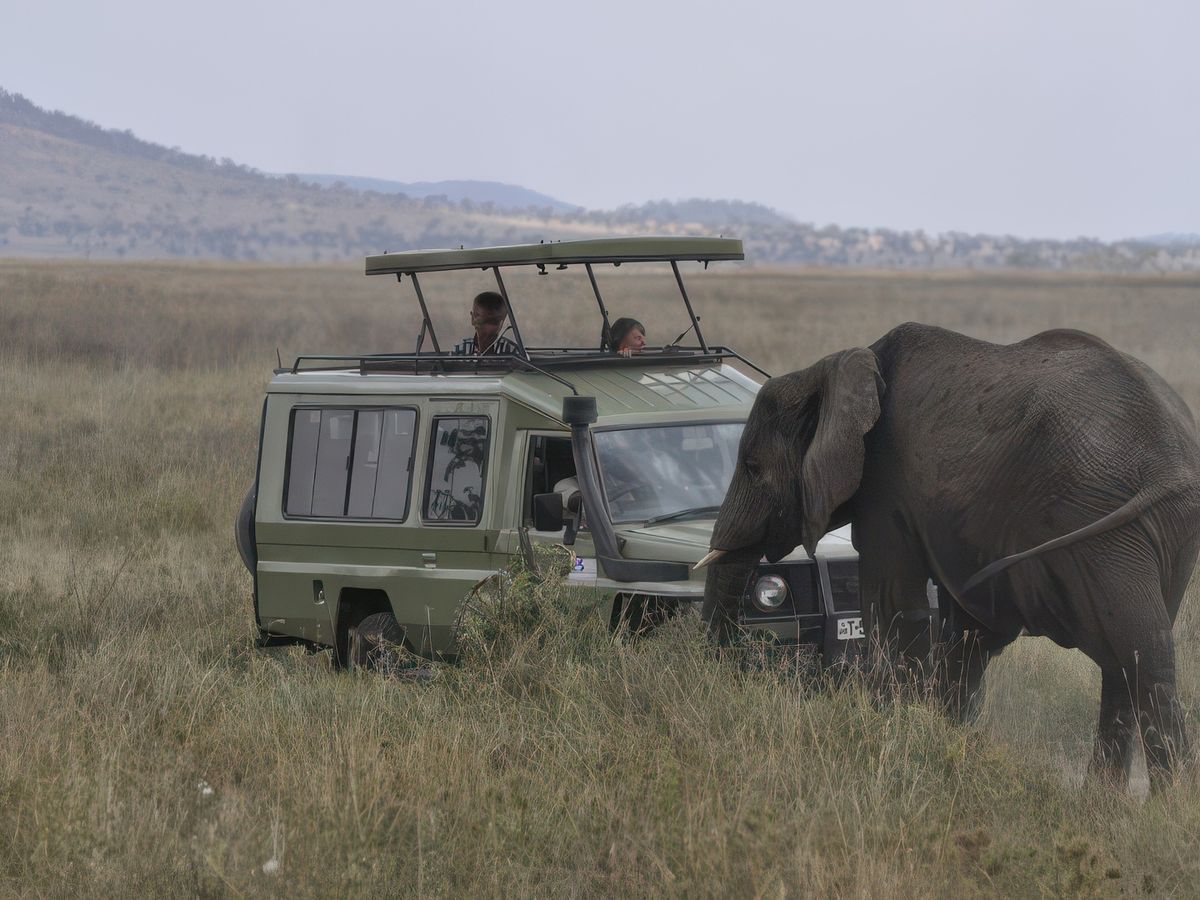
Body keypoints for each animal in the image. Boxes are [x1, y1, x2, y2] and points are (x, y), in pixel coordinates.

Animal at [700, 322, 1200, 786]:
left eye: (752, 467)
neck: (834, 368)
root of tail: (1173, 463)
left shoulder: (887, 484)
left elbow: (894, 605)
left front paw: (887, 728)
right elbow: (967, 630)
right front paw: (944, 737)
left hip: (1100, 522)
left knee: (1140, 649)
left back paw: (1161, 804)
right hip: (1163, 530)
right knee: (1130, 655)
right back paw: (1107, 800)